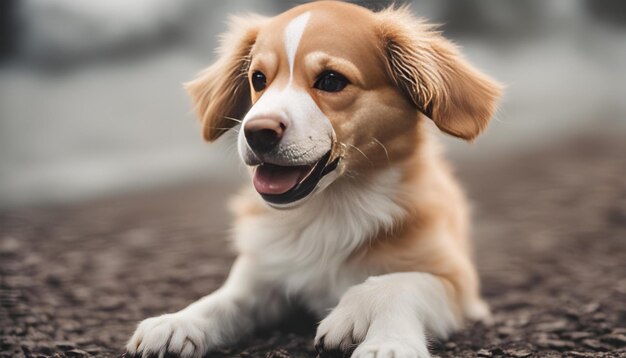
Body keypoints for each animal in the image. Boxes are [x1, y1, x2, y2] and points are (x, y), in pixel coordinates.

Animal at [124, 1, 500, 356]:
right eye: (258, 79)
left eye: (331, 80)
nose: (257, 132)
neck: (328, 209)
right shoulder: (261, 272)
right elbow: (225, 299)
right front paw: (178, 322)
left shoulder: (459, 286)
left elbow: (398, 284)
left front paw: (382, 340)